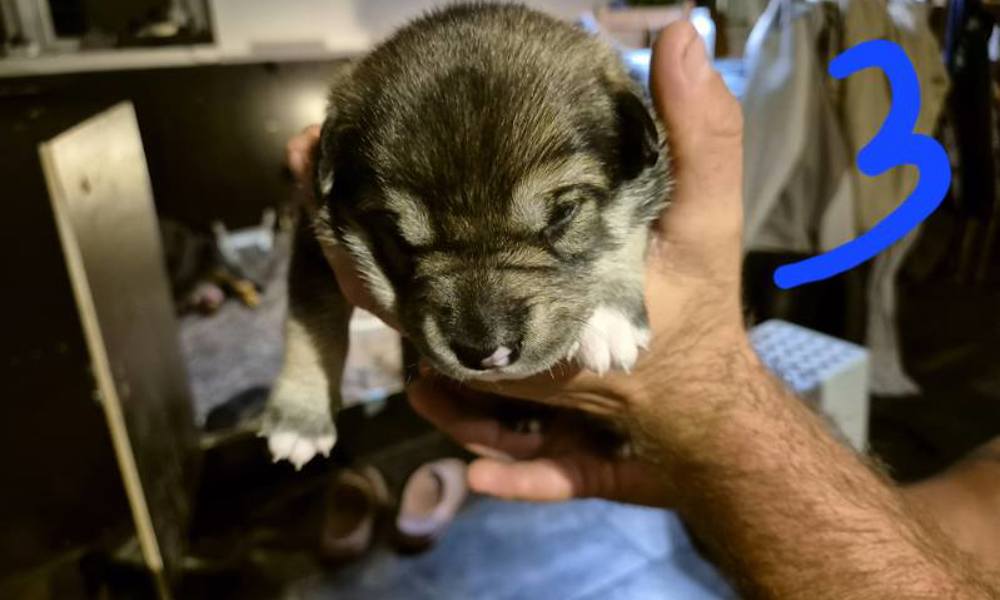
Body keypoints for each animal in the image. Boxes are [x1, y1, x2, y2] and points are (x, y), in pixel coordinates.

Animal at [266, 2, 672, 466]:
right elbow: (313, 322)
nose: (485, 353)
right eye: (395, 234)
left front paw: (610, 315)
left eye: (563, 213)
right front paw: (299, 421)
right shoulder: (315, 237)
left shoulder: (654, 175)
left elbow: (628, 232)